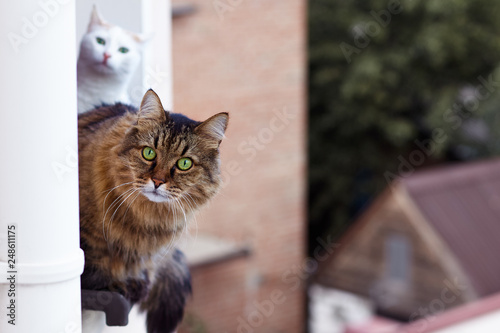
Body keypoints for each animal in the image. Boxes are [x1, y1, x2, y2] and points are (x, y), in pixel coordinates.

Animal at [78, 89, 229, 332]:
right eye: (149, 153)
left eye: (184, 164)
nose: (157, 182)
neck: (145, 217)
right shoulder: (88, 235)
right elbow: (93, 263)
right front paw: (115, 284)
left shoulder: (151, 251)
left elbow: (142, 265)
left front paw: (137, 282)